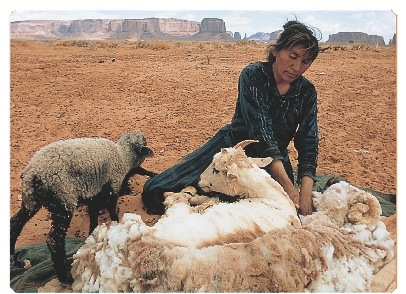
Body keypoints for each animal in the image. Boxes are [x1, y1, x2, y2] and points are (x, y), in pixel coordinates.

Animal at [9, 131, 155, 284]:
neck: (123, 155)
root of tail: (33, 174)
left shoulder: (95, 191)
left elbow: (94, 213)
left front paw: (93, 232)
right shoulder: (113, 185)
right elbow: (113, 209)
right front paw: (116, 225)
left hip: (30, 200)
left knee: (15, 223)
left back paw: (13, 257)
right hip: (64, 200)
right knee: (54, 240)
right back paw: (66, 277)